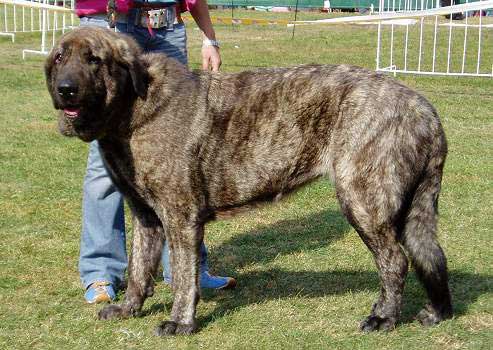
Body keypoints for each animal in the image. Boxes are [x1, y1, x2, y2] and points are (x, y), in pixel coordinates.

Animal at [44, 26, 452, 334]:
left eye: (94, 59)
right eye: (60, 58)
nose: (65, 89)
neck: (132, 106)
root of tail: (426, 111)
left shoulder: (180, 216)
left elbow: (184, 275)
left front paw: (180, 322)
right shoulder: (146, 217)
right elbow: (139, 269)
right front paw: (128, 309)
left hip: (363, 200)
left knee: (395, 260)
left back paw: (383, 317)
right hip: (411, 207)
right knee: (430, 255)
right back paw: (437, 312)